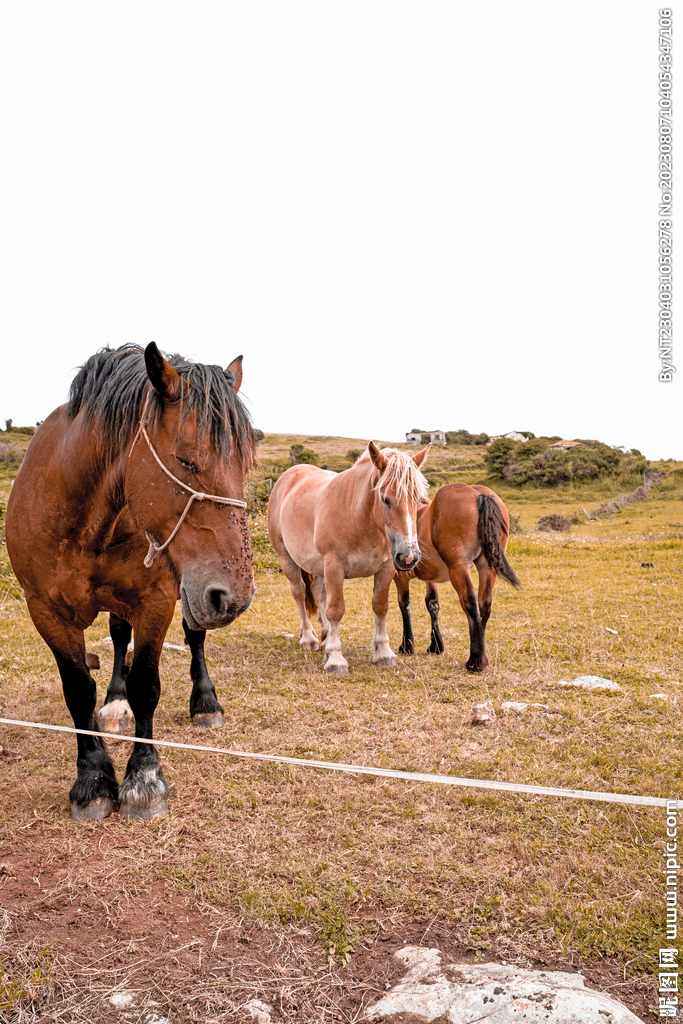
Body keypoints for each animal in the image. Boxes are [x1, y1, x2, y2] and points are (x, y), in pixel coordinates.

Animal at [5, 343, 257, 820]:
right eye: (186, 460)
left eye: (247, 463)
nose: (234, 596)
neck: (86, 520)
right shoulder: (44, 608)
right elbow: (78, 689)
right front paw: (92, 779)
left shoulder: (156, 600)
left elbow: (146, 684)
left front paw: (144, 778)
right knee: (118, 638)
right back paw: (115, 702)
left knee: (193, 637)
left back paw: (205, 703)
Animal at [267, 443, 430, 674]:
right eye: (385, 498)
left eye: (419, 500)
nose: (409, 556)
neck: (359, 517)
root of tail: (289, 475)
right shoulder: (334, 567)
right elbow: (336, 610)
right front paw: (336, 659)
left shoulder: (386, 568)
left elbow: (380, 606)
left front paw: (383, 653)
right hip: (287, 559)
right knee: (299, 593)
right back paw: (309, 639)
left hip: (318, 567)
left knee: (318, 593)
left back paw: (325, 639)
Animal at [393, 483, 521, 671]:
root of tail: (477, 493)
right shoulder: (432, 578)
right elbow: (432, 604)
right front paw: (436, 645)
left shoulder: (399, 576)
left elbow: (405, 605)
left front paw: (407, 645)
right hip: (487, 568)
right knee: (484, 604)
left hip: (458, 568)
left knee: (470, 602)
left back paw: (475, 660)